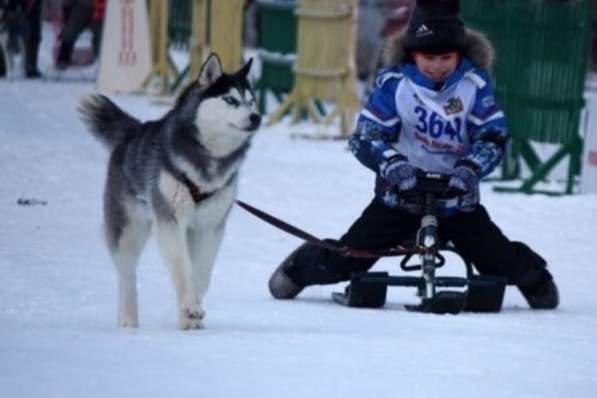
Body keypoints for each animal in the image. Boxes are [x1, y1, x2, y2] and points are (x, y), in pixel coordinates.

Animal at [79, 55, 260, 330]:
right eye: (230, 100)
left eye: (252, 101)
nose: (256, 117)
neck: (208, 161)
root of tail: (133, 131)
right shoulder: (170, 219)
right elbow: (182, 268)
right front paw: (189, 307)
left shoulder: (210, 226)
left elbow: (201, 273)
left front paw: (191, 312)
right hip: (128, 228)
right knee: (127, 273)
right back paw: (128, 320)